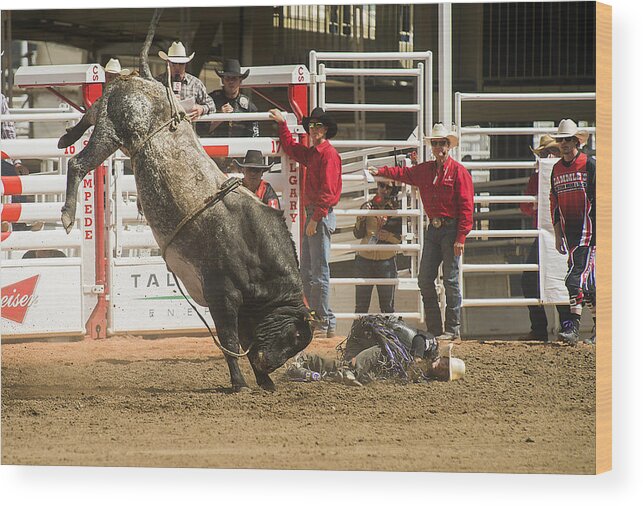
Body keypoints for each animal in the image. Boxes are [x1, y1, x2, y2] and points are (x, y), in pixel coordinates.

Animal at [59, 10, 314, 392]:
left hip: (105, 117)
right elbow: (230, 340)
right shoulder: (222, 295)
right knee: (78, 163)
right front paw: (241, 382)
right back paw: (67, 213)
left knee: (86, 117)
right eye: (293, 336)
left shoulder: (243, 306)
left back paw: (64, 138)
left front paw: (264, 381)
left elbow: (244, 338)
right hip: (112, 133)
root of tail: (147, 80)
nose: (269, 361)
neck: (253, 244)